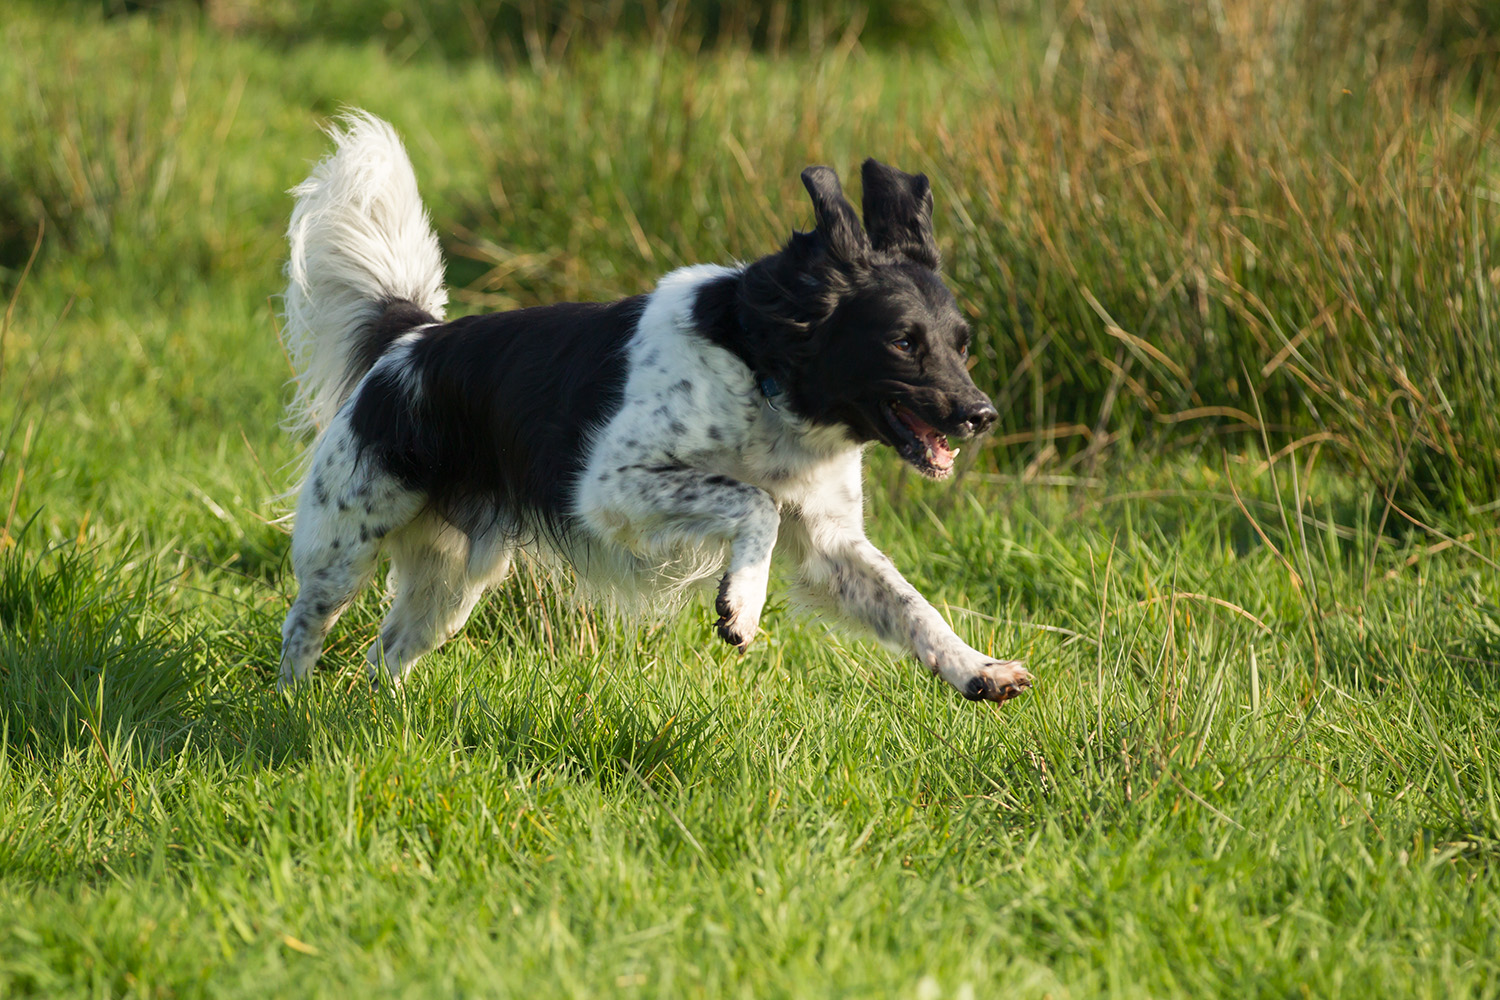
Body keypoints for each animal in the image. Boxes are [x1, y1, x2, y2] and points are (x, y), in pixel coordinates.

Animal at [276, 111, 1032, 704]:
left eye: (962, 343)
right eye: (903, 342)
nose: (982, 415)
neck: (766, 375)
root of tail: (411, 338)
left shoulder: (831, 540)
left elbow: (912, 606)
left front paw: (979, 669)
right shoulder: (612, 489)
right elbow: (755, 503)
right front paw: (742, 604)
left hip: (454, 580)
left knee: (385, 652)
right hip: (346, 544)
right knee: (303, 627)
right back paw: (293, 707)